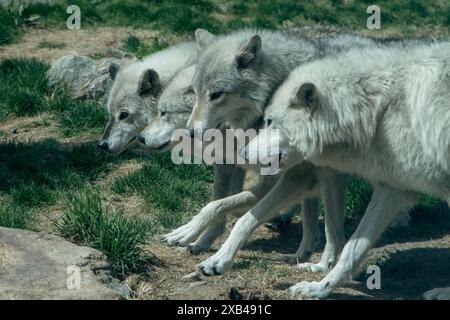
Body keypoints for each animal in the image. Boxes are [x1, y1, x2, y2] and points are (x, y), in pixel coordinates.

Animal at [244, 43, 450, 300]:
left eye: (270, 121)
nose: (242, 153)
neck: (381, 109)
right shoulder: (393, 189)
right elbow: (352, 248)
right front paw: (318, 288)